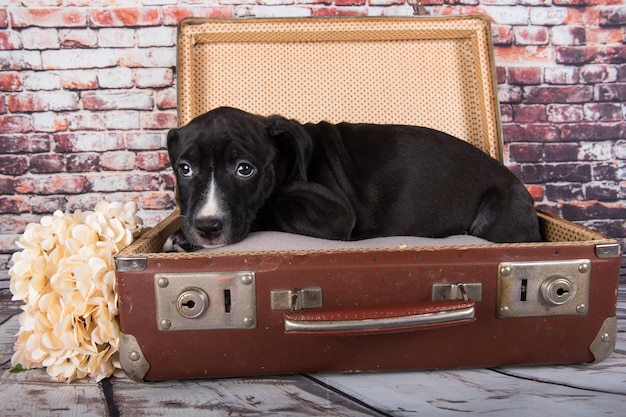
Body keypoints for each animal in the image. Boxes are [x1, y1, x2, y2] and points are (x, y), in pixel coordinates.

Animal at [163, 107, 540, 250]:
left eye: (245, 169)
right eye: (185, 169)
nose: (207, 226)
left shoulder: (333, 215)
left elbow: (268, 208)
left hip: (500, 211)